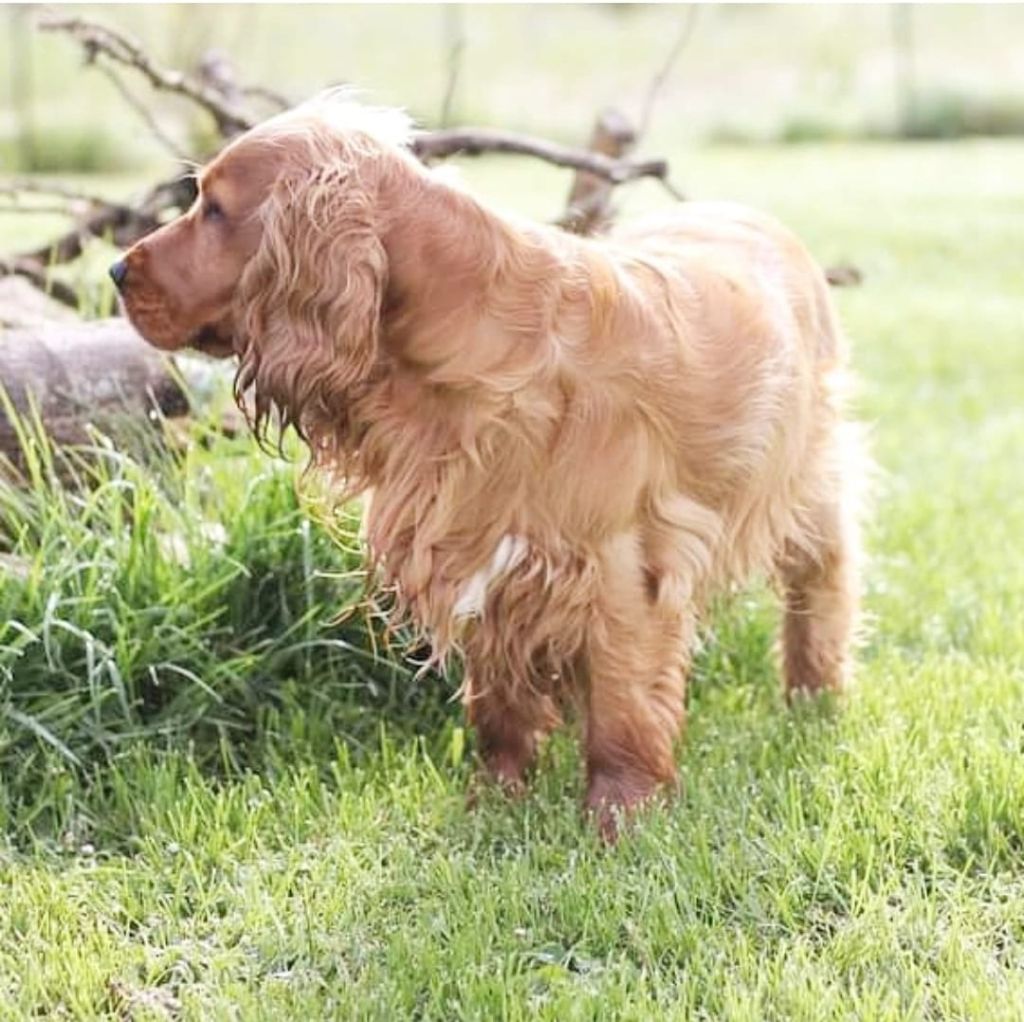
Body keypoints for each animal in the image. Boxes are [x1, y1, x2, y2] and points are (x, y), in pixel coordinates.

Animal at [114, 96, 864, 839]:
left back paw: (812, 694)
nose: (116, 272)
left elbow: (621, 709)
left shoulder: (620, 565)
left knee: (819, 589)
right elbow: (499, 704)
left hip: (811, 482)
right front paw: (495, 799)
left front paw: (618, 816)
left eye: (215, 210)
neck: (467, 345)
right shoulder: (480, 546)